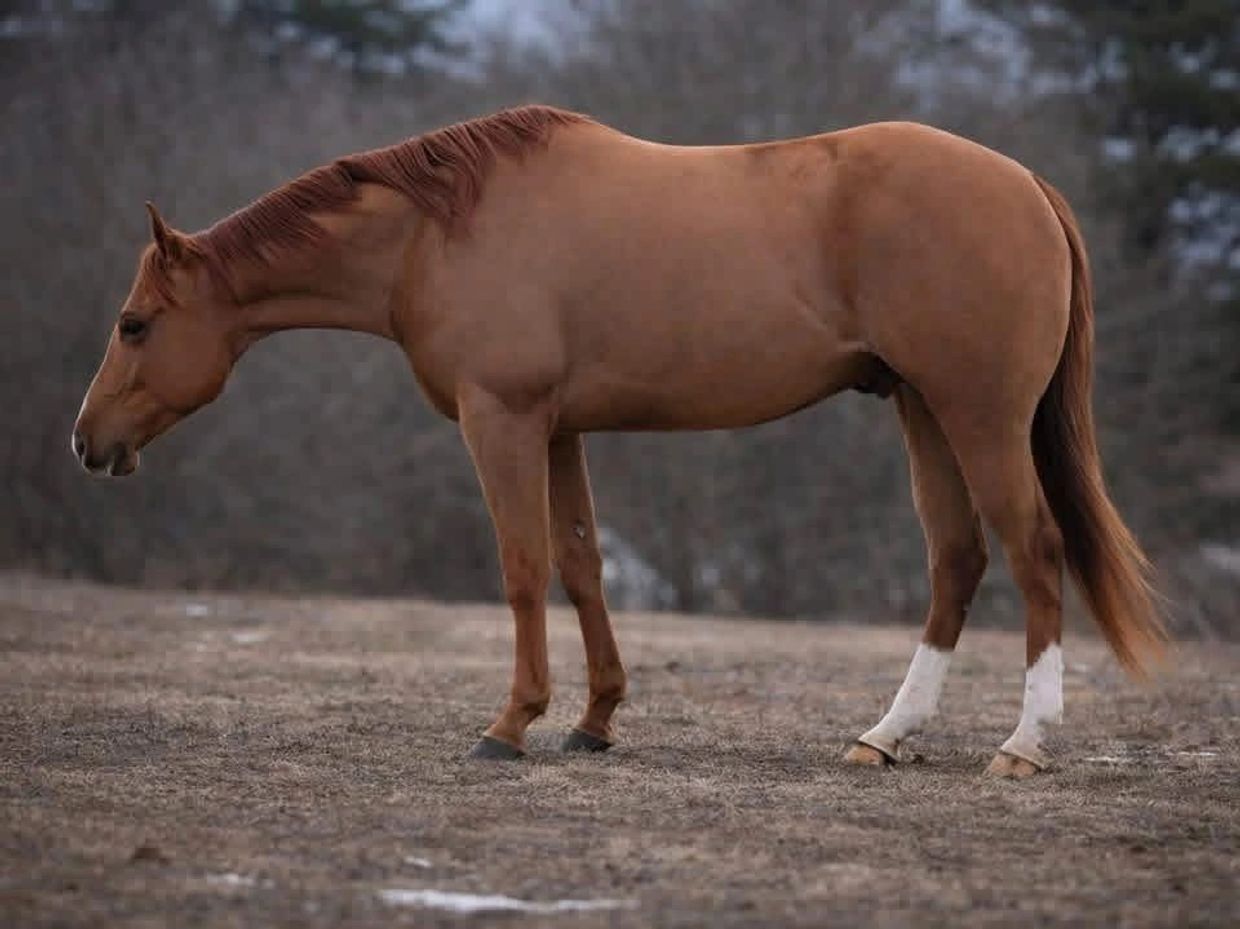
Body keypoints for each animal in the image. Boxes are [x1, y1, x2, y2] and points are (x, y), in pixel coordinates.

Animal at [73, 105, 1165, 776]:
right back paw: (885, 735)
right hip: (925, 411)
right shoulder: (560, 428)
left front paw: (510, 723)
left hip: (980, 415)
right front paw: (594, 720)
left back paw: (1022, 742)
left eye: (134, 324)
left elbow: (521, 566)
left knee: (1033, 552)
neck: (436, 235)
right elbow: (580, 563)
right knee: (956, 559)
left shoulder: (502, 418)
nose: (85, 441)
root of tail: (1025, 184)